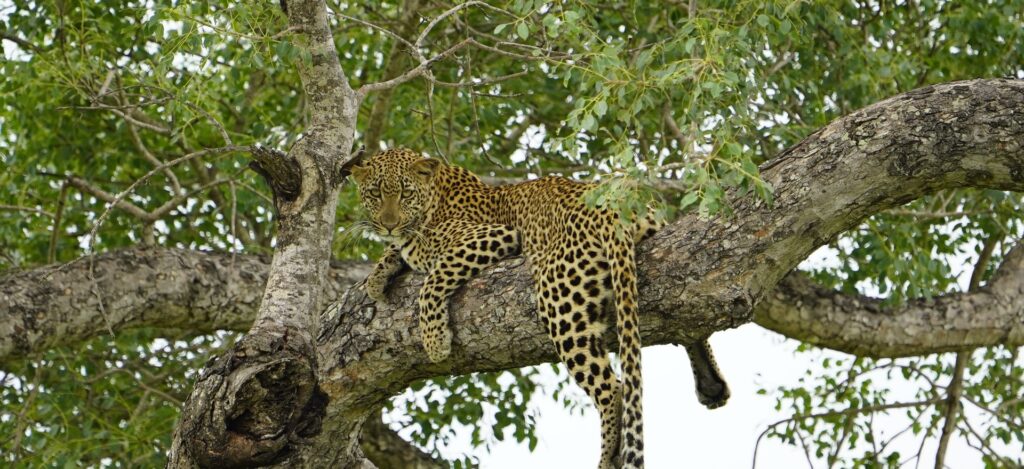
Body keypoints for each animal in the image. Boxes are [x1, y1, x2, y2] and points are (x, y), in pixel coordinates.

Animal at [350, 148, 730, 468]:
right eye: (374, 193)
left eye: (404, 193)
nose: (388, 223)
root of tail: (612, 207)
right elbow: (397, 253)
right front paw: (377, 277)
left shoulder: (492, 236)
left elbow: (432, 281)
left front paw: (434, 340)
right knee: (690, 326)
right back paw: (710, 384)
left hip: (557, 297)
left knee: (614, 388)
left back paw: (608, 456)